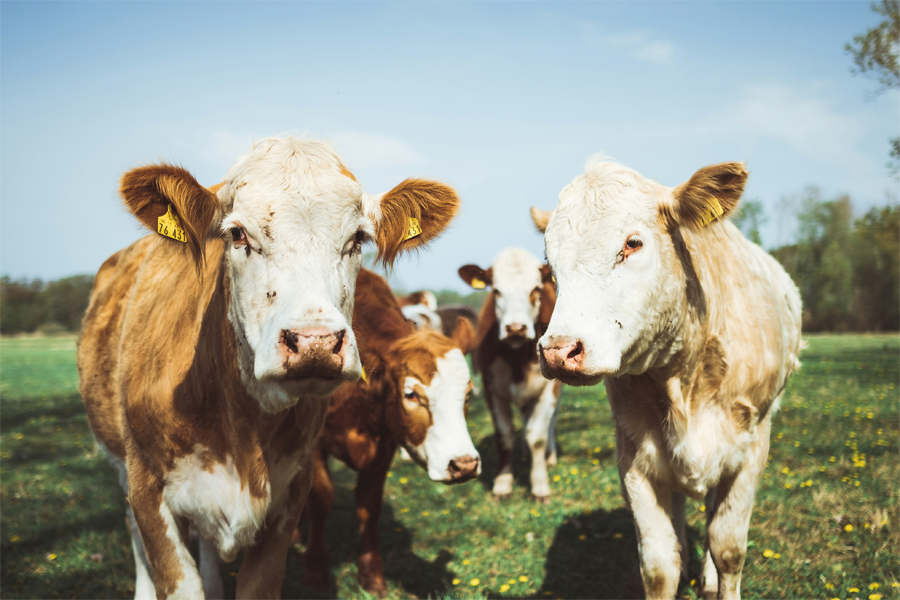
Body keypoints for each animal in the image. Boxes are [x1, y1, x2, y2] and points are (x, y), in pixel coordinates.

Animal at [77, 137, 460, 600]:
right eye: (237, 234)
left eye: (358, 238)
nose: (315, 343)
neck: (240, 430)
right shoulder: (148, 493)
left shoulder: (290, 495)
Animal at [301, 268, 479, 596]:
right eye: (411, 395)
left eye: (468, 394)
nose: (464, 465)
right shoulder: (313, 444)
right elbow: (320, 501)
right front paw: (316, 571)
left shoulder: (384, 446)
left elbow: (369, 508)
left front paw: (372, 576)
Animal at [458, 247, 561, 501]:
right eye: (496, 290)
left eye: (535, 289)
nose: (515, 329)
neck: (518, 359)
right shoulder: (491, 388)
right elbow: (504, 436)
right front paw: (503, 483)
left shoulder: (549, 388)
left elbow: (538, 436)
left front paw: (539, 486)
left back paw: (550, 456)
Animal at [531, 158, 802, 600]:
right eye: (550, 264)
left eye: (632, 243)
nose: (558, 351)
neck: (682, 377)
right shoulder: (634, 455)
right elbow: (659, 565)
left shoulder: (752, 447)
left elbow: (728, 548)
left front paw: (717, 576)